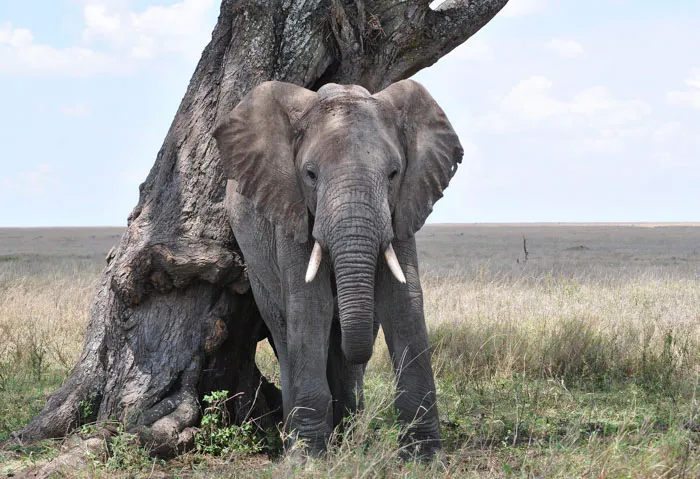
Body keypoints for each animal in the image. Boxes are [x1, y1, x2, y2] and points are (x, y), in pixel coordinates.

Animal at [213, 79, 463, 457]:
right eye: (310, 175)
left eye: (394, 174)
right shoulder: (291, 210)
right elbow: (309, 307)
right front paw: (307, 459)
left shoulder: (402, 209)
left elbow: (404, 303)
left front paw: (425, 457)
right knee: (284, 329)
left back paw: (345, 434)